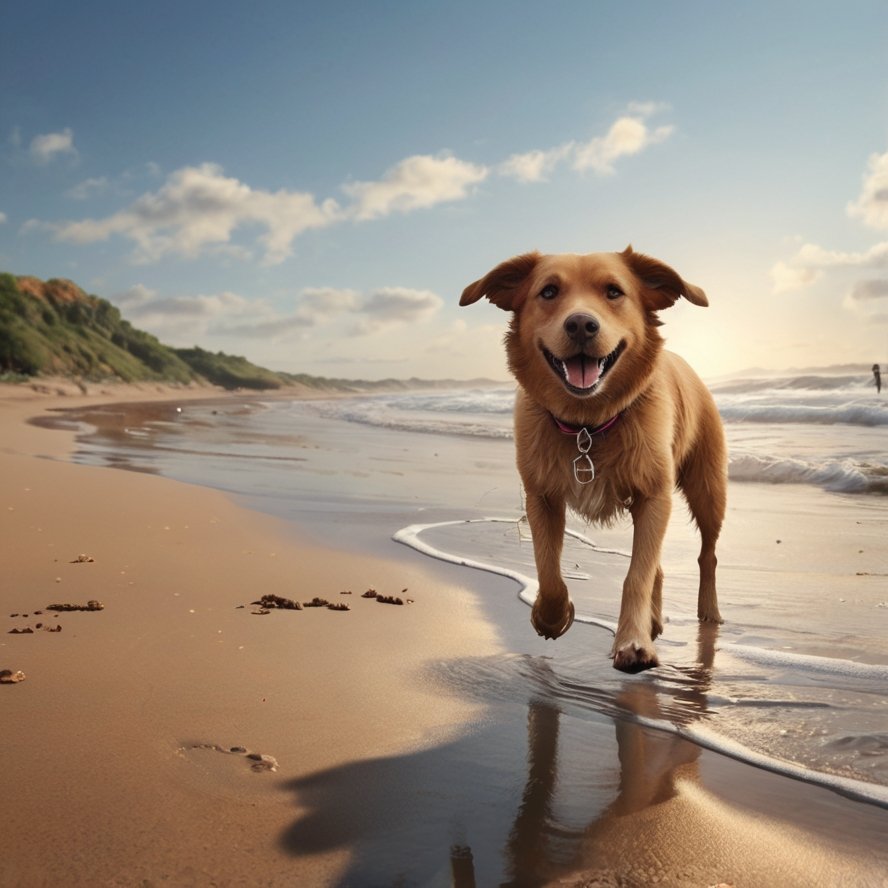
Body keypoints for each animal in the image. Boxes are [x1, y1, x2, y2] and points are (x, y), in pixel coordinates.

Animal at [462, 246, 724, 668]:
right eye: (548, 291)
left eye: (614, 291)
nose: (582, 324)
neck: (589, 423)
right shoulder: (541, 496)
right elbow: (547, 567)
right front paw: (551, 617)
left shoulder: (654, 495)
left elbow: (637, 574)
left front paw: (632, 640)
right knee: (660, 564)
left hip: (708, 488)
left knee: (707, 555)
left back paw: (709, 612)